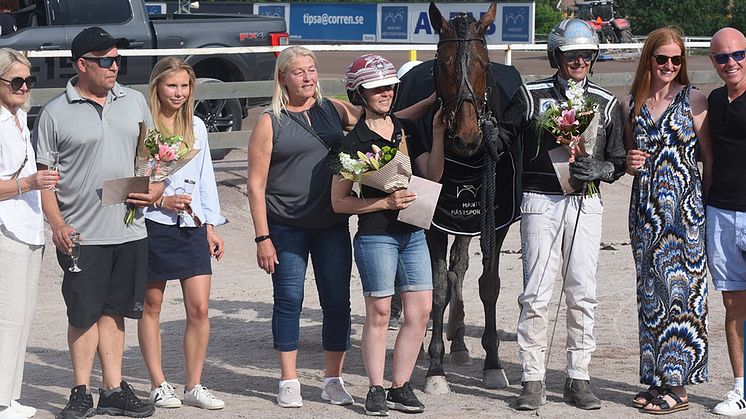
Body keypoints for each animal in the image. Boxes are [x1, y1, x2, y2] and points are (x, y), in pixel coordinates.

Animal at [392, 3, 520, 396]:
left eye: (484, 64)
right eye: (442, 65)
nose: (466, 136)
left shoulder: (495, 219)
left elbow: (487, 283)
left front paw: (492, 363)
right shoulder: (433, 219)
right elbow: (435, 288)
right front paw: (434, 369)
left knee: (458, 268)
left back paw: (461, 342)